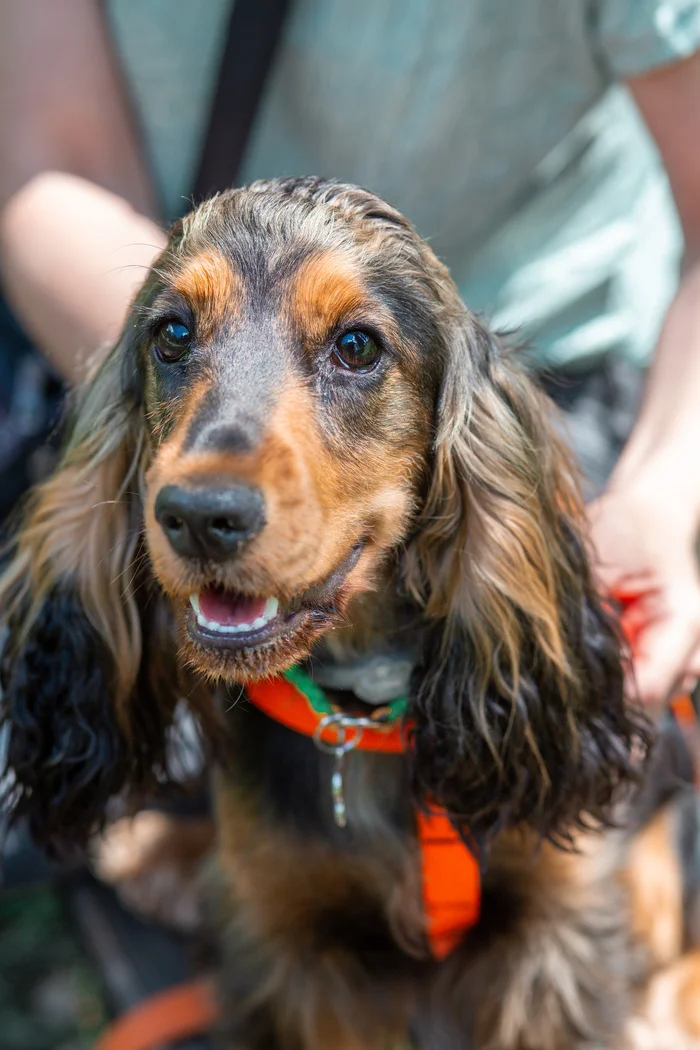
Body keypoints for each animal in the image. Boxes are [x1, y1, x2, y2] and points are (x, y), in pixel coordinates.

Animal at [1, 176, 700, 1045]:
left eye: (358, 346)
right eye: (172, 334)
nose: (198, 516)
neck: (362, 708)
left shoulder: (557, 935)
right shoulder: (295, 949)